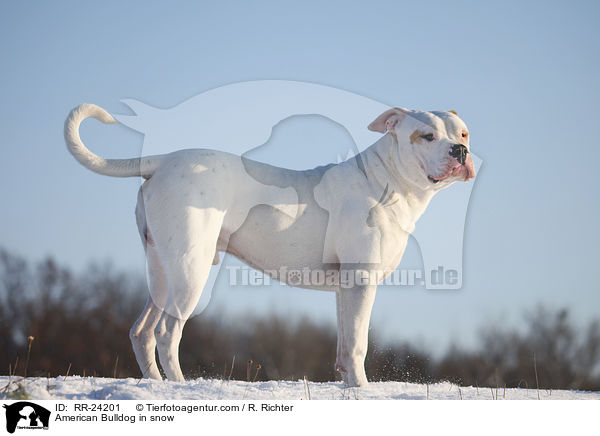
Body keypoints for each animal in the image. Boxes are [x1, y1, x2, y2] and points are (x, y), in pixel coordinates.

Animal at [64, 103, 474, 384]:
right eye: (427, 136)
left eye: (463, 134)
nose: (460, 151)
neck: (386, 180)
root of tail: (163, 161)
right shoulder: (361, 281)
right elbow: (358, 345)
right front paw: (362, 390)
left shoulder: (346, 288)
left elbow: (345, 346)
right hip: (190, 271)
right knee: (166, 332)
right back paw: (181, 387)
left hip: (162, 272)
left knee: (142, 331)